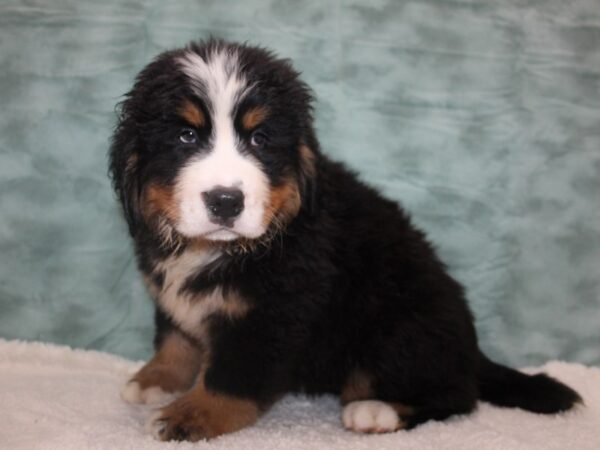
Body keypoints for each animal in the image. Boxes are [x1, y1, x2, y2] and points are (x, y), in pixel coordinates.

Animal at [109, 38, 580, 440]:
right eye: (186, 136)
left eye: (260, 138)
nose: (226, 201)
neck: (218, 248)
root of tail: (473, 350)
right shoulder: (173, 297)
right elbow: (176, 338)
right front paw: (155, 379)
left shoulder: (273, 315)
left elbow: (231, 379)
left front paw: (190, 416)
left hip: (399, 329)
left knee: (456, 396)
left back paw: (375, 411)